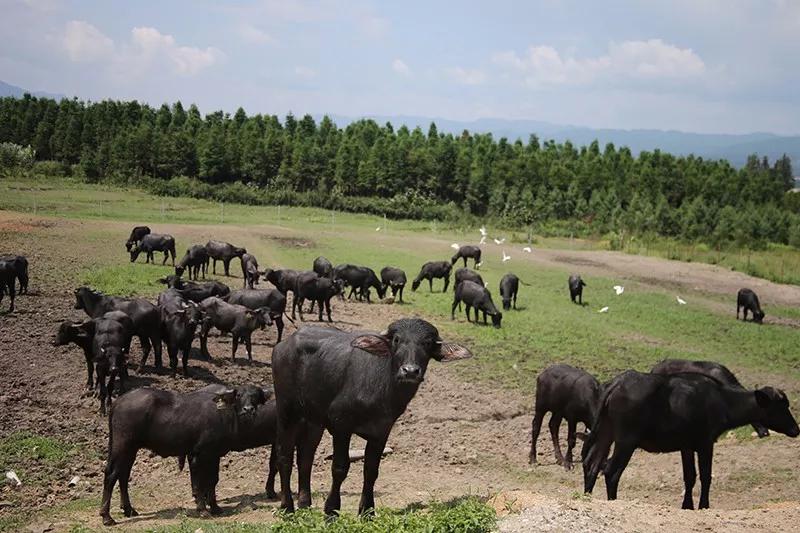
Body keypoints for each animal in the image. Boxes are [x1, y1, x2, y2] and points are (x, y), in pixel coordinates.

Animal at [98, 382, 268, 524]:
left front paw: (215, 507)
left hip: (131, 449)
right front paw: (202, 510)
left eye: (255, 396)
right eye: (239, 395)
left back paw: (129, 510)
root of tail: (119, 401)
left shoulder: (214, 455)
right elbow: (199, 483)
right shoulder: (198, 455)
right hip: (123, 446)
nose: (248, 409)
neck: (223, 415)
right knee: (111, 474)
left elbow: (212, 481)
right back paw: (106, 516)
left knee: (123, 475)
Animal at [276, 318, 476, 512]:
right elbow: (340, 468)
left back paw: (304, 504)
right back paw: (287, 507)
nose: (410, 371)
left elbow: (371, 471)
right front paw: (331, 510)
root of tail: (284, 345)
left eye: (427, 342)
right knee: (285, 457)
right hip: (287, 412)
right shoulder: (341, 426)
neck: (382, 390)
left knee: (305, 457)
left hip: (313, 420)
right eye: (397, 340)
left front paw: (367, 511)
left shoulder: (381, 432)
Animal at [580, 368, 800, 510]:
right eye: (781, 406)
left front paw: (687, 505)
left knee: (592, 465)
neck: (722, 401)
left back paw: (587, 496)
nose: (795, 429)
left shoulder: (686, 446)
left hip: (605, 434)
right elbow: (705, 475)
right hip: (626, 441)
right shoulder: (706, 443)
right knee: (610, 470)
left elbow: (689, 477)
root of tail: (617, 384)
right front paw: (703, 505)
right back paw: (613, 500)